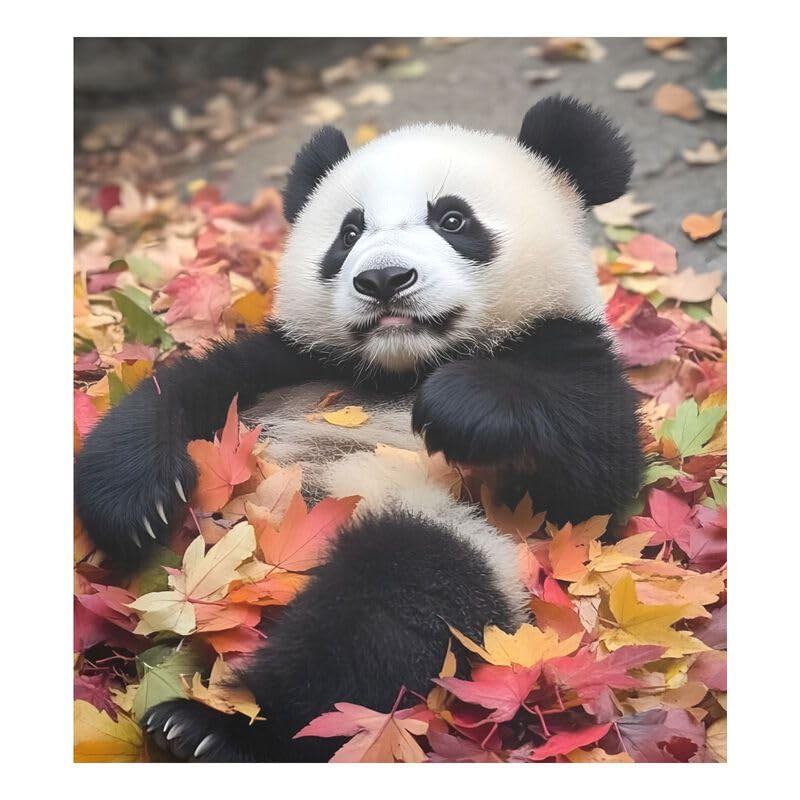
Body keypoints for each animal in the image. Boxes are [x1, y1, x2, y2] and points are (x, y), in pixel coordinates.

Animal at [74, 95, 644, 762]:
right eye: (349, 233)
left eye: (453, 219)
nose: (383, 280)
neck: (401, 365)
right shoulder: (294, 361)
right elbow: (183, 390)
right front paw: (132, 505)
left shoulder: (567, 354)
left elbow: (595, 469)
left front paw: (459, 405)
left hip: (447, 530)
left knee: (383, 614)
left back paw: (214, 731)